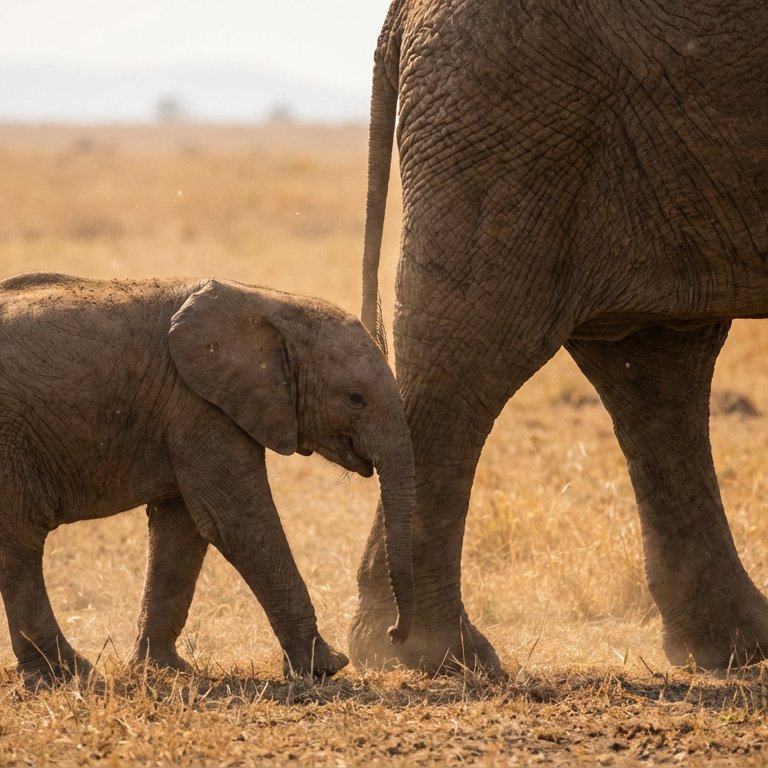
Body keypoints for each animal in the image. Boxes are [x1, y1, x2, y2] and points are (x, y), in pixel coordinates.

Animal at [0, 272, 415, 685]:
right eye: (356, 398)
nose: (394, 634)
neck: (269, 303)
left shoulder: (187, 409)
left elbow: (180, 530)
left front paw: (163, 669)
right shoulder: (198, 405)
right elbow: (236, 523)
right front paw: (324, 669)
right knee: (19, 542)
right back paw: (68, 675)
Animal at [351, 0, 768, 674]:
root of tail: (404, 13)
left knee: (657, 361)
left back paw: (734, 647)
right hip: (511, 111)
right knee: (473, 349)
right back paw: (434, 653)